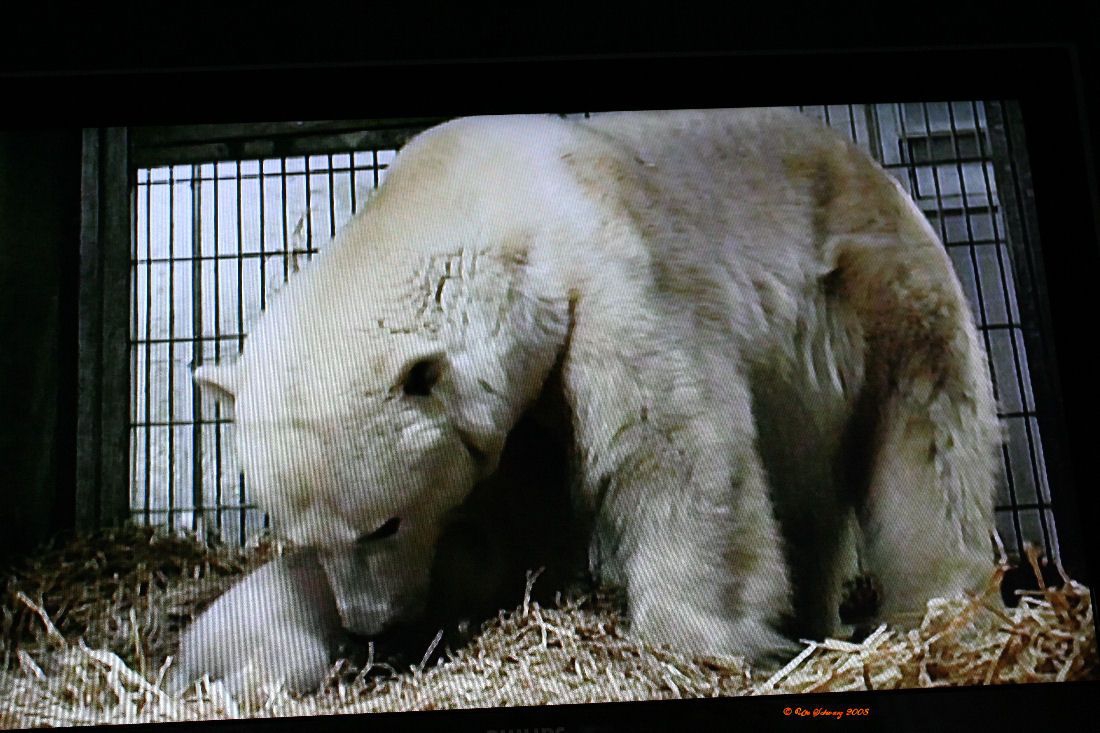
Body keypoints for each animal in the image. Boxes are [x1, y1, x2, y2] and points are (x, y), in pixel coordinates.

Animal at [169, 107, 998, 691]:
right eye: (301, 539)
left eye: (383, 523)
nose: (370, 622)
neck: (483, 194)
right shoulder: (519, 398)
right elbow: (518, 500)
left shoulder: (612, 274)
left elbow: (670, 445)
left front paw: (706, 638)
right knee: (807, 490)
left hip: (880, 289)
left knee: (931, 448)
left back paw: (938, 609)